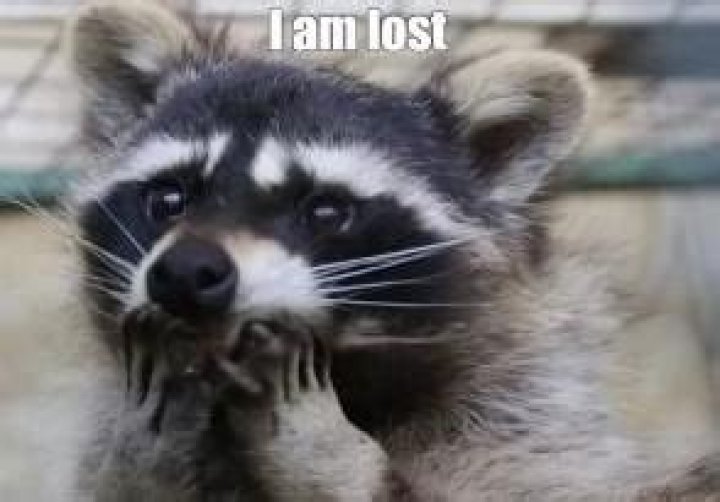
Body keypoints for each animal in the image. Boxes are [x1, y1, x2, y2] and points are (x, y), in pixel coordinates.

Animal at [67, 1, 719, 501]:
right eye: (168, 199)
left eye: (326, 212)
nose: (185, 271)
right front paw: (151, 442)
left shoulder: (527, 417)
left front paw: (323, 455)